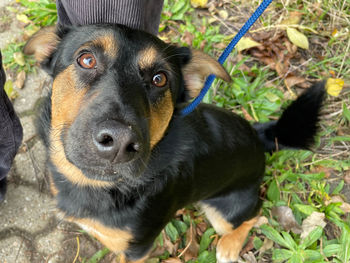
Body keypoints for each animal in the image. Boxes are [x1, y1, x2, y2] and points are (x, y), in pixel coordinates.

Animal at [24, 24, 326, 263]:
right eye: (86, 59)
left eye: (160, 79)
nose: (120, 142)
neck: (102, 186)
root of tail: (259, 135)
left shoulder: (138, 249)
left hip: (225, 211)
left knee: (254, 215)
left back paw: (229, 247)